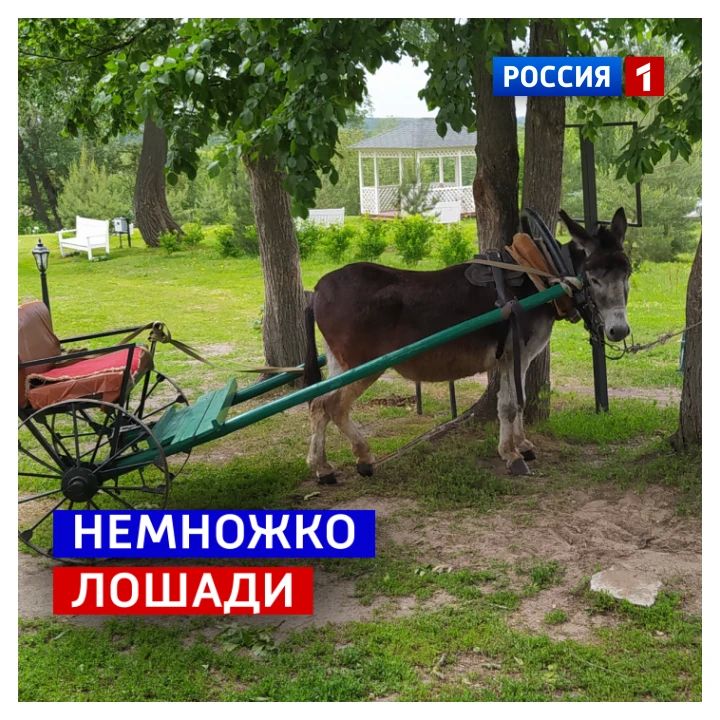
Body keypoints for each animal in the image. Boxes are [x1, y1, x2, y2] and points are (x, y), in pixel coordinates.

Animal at [303, 208, 631, 482]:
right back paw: (361, 458)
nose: (619, 331)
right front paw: (511, 455)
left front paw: (523, 445)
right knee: (334, 405)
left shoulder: (518, 357)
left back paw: (323, 467)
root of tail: (317, 289)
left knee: (319, 405)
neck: (540, 278)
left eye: (627, 273)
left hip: (340, 363)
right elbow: (510, 404)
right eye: (592, 278)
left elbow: (516, 402)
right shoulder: (515, 353)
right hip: (363, 365)